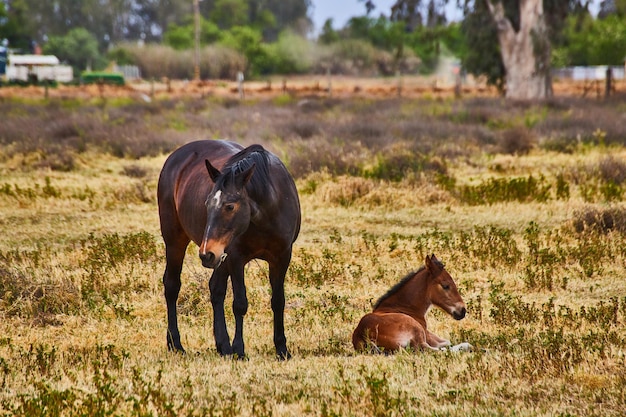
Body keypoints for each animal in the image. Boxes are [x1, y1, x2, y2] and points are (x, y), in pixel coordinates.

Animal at [158, 140, 300, 358]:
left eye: (230, 206)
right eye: (207, 203)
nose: (205, 253)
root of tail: (176, 156)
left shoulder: (282, 257)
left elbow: (278, 301)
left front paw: (282, 349)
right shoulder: (236, 259)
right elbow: (240, 304)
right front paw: (239, 350)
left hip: (219, 258)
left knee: (215, 289)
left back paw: (222, 346)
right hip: (176, 241)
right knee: (172, 286)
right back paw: (176, 344)